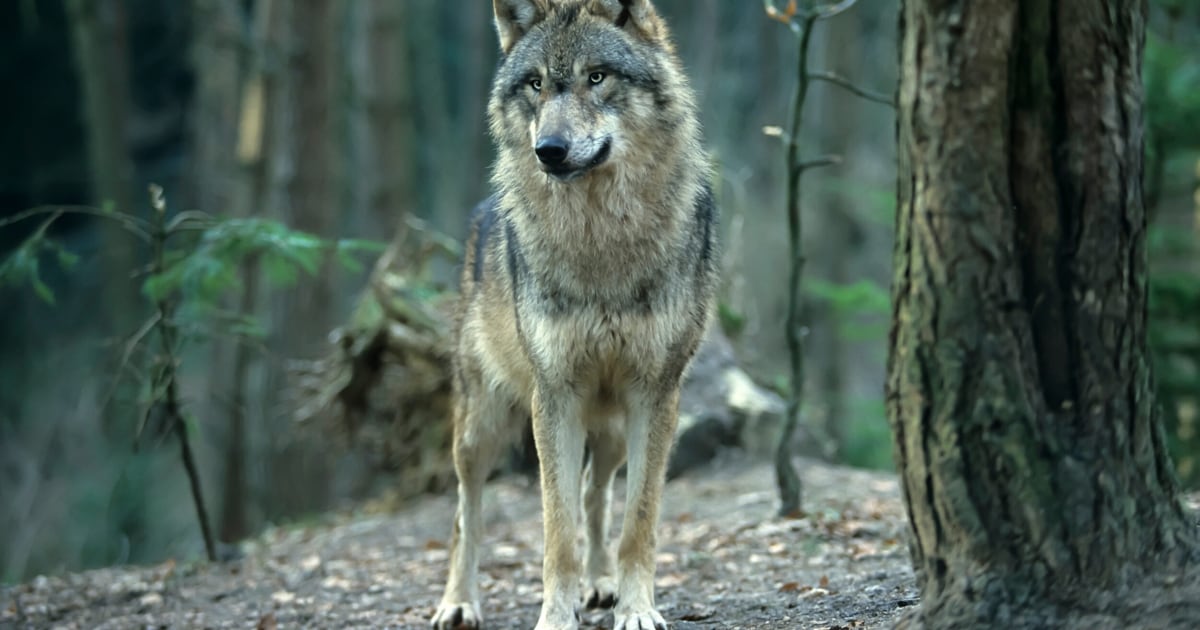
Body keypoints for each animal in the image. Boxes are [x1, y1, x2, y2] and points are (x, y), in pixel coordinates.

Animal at [430, 1, 717, 629]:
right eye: (537, 84)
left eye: (597, 77)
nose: (550, 150)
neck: (599, 238)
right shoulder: (555, 395)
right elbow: (555, 533)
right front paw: (556, 617)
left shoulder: (655, 394)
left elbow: (638, 522)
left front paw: (636, 608)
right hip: (480, 427)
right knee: (466, 512)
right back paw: (458, 602)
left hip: (609, 424)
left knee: (595, 492)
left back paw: (602, 583)